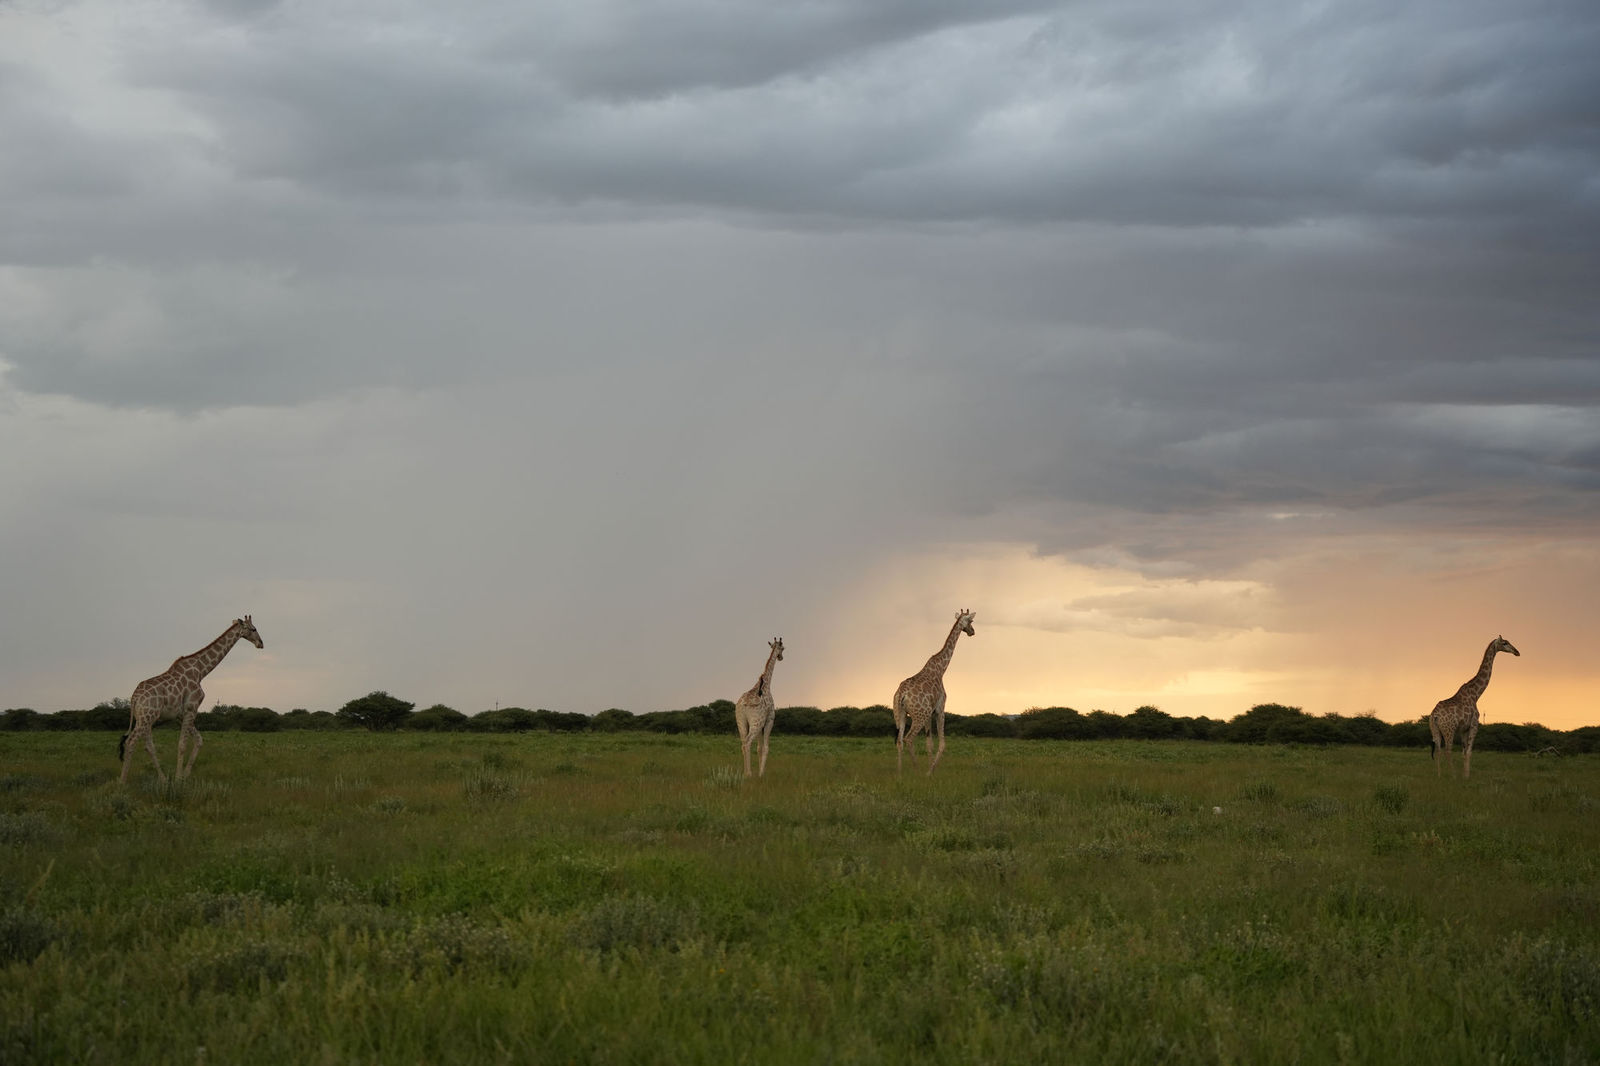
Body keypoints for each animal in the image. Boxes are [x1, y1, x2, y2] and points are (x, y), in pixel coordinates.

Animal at [119, 616, 264, 785]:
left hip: (146, 719)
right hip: (146, 717)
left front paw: (185, 775)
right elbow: (182, 745)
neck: (201, 671)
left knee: (148, 746)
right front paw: (178, 779)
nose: (261, 643)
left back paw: (162, 779)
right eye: (253, 629)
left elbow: (199, 740)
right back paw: (122, 782)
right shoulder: (191, 708)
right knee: (130, 742)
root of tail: (134, 698)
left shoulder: (181, 714)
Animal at [734, 637, 784, 778]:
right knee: (747, 742)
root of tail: (744, 705)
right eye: (783, 648)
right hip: (756, 723)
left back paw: (745, 773)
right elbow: (766, 748)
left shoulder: (761, 726)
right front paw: (761, 774)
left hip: (741, 721)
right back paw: (749, 773)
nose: (781, 657)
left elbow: (759, 748)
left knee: (743, 743)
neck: (766, 684)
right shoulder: (769, 721)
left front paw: (759, 772)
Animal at [893, 609, 975, 774]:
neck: (941, 669)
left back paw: (899, 772)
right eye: (971, 621)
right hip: (919, 715)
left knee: (899, 740)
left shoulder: (930, 713)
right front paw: (930, 771)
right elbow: (942, 744)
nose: (972, 632)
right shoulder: (939, 709)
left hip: (901, 713)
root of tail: (901, 695)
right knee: (908, 738)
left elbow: (929, 744)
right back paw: (917, 770)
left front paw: (930, 768)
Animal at [1429, 634, 1519, 778]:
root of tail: (1435, 715)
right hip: (1449, 729)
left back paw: (1439, 776)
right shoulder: (1474, 725)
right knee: (1447, 750)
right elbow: (1469, 752)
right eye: (1505, 643)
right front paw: (1466, 777)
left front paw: (1465, 775)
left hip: (1435, 729)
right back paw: (1453, 776)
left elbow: (1464, 753)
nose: (1517, 652)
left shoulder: (1463, 729)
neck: (1476, 694)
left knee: (1437, 751)